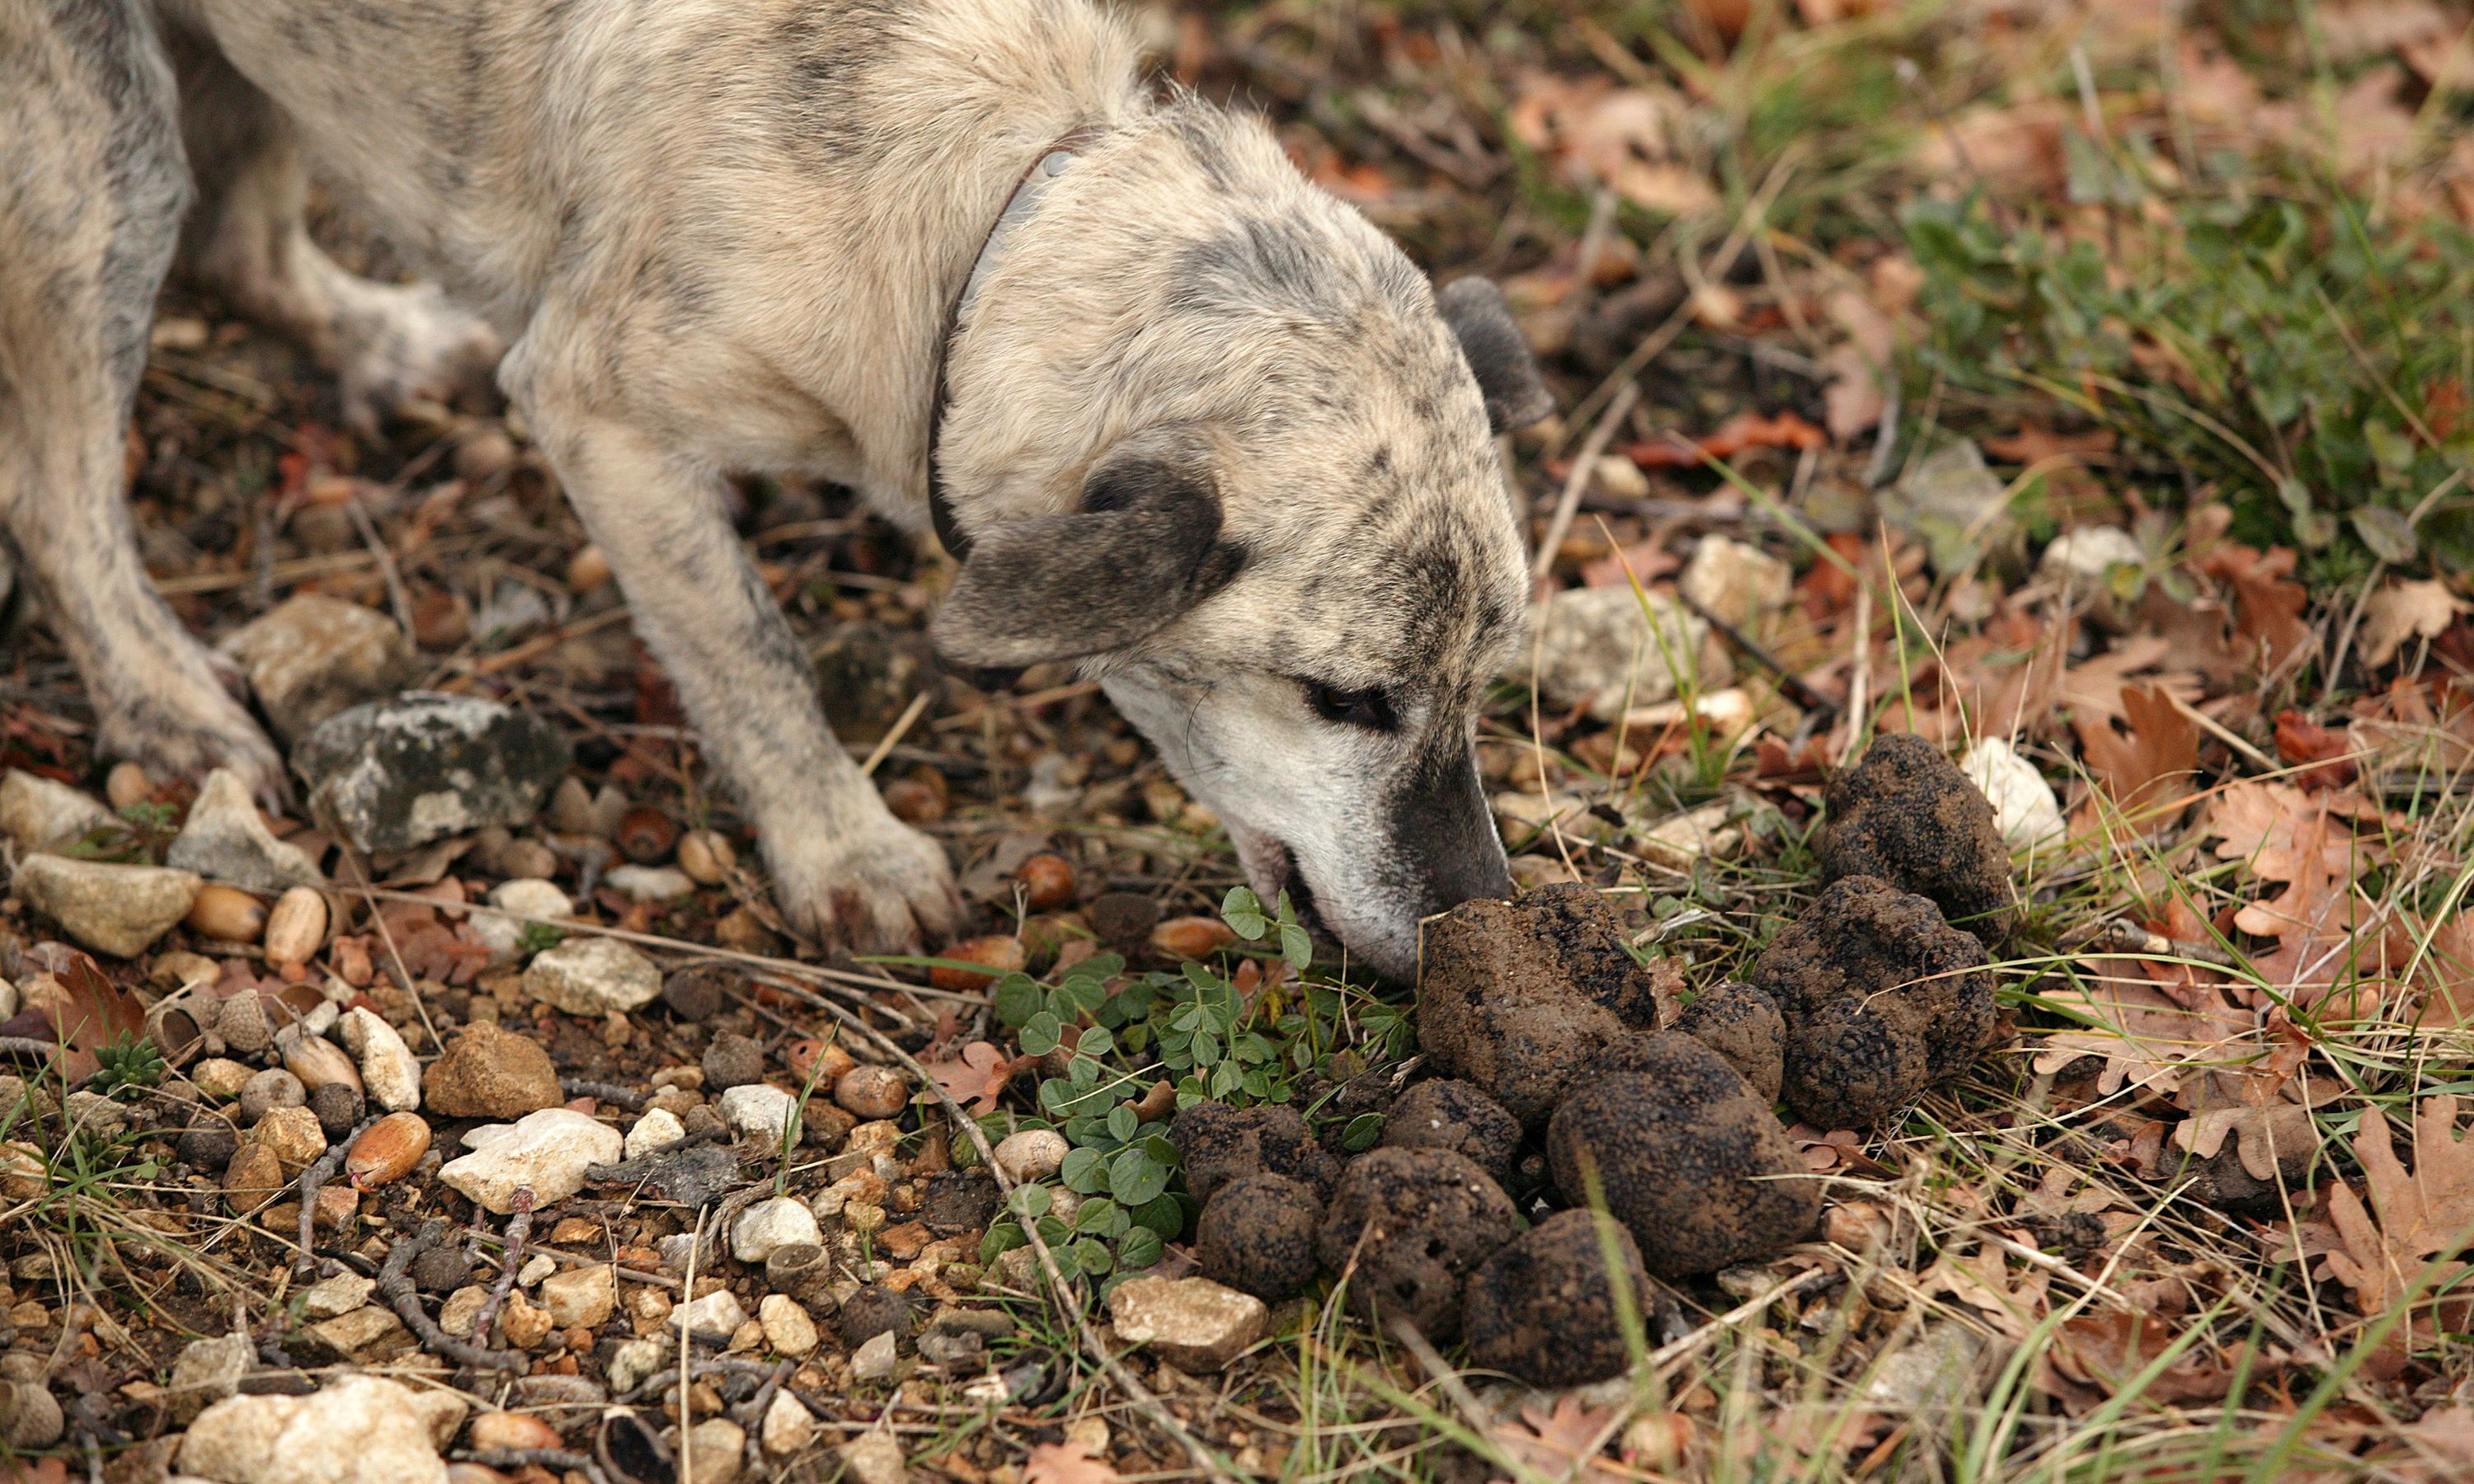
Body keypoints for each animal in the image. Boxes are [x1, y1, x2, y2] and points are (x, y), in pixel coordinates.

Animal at [0, 0, 1553, 979]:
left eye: (1483, 685)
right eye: (1348, 701)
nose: (1484, 919)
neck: (990, 220)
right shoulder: (599, 413)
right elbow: (749, 655)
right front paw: (845, 849)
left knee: (245, 249)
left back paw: (378, 339)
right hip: (103, 153)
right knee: (59, 488)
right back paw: (164, 698)